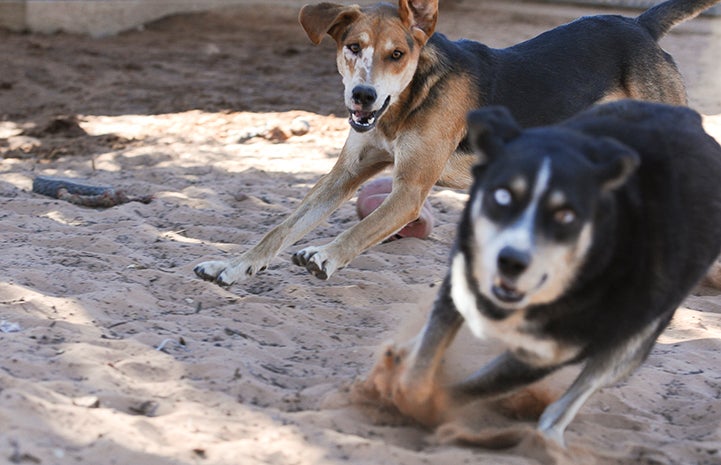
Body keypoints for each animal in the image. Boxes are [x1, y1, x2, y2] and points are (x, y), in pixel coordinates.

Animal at [194, 0, 716, 286]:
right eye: (353, 47)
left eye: (397, 54)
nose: (362, 95)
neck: (407, 100)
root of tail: (640, 26)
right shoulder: (344, 176)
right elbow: (279, 229)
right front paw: (233, 267)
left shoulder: (408, 193)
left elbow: (360, 231)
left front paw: (325, 254)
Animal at [374, 99, 720, 444]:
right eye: (502, 196)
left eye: (566, 216)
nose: (511, 260)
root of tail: (690, 118)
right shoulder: (461, 277)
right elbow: (429, 349)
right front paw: (406, 383)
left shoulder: (548, 355)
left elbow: (472, 388)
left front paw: (427, 405)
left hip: (632, 342)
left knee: (580, 390)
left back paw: (547, 437)